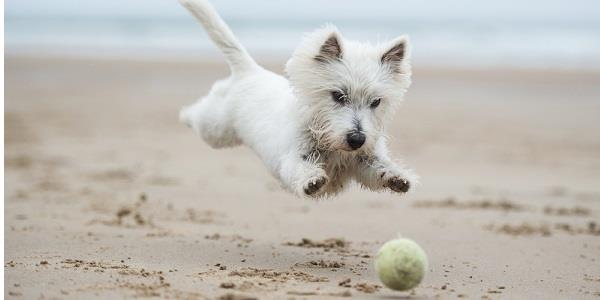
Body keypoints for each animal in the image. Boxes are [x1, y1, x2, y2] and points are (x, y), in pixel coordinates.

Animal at [179, 0, 418, 198]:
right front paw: (312, 180)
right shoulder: (293, 157)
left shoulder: (363, 160)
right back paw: (184, 115)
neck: (331, 144)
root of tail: (250, 71)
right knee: (199, 114)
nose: (357, 139)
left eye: (376, 102)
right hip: (216, 128)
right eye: (338, 96)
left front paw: (397, 177)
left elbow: (377, 167)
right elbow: (300, 168)